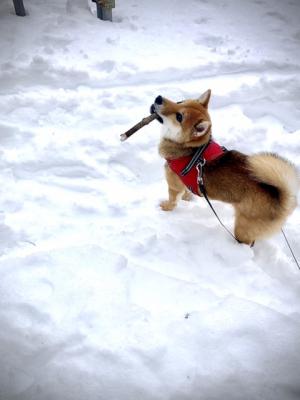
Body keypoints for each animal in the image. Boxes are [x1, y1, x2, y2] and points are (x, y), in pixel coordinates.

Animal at [151, 90, 298, 245]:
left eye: (179, 117)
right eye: (181, 101)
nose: (158, 98)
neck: (190, 149)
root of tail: (280, 198)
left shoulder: (174, 187)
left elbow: (172, 201)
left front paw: (165, 208)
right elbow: (186, 192)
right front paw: (187, 198)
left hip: (242, 228)